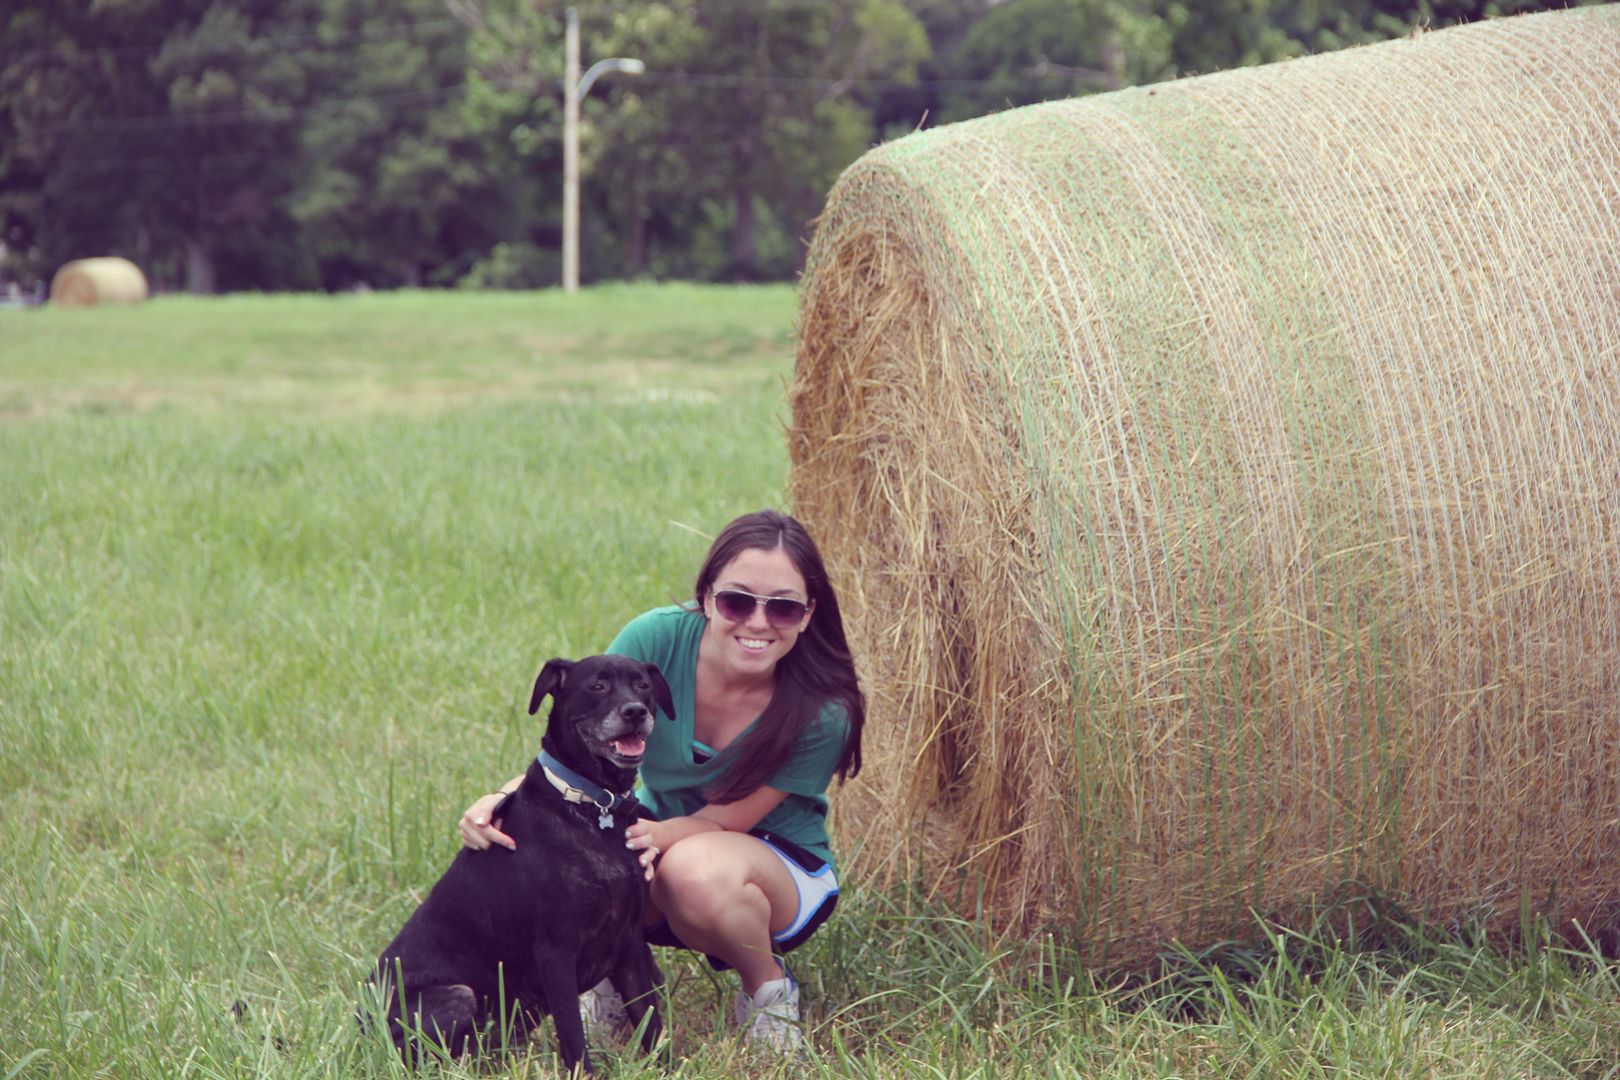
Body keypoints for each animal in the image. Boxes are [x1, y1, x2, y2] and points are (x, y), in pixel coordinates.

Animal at [367, 650, 670, 1075]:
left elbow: (651, 1022)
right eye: (597, 685)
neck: (594, 808)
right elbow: (573, 1034)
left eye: (642, 684)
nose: (635, 711)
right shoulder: (555, 951)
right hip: (458, 996)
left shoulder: (629, 943)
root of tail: (360, 1020)